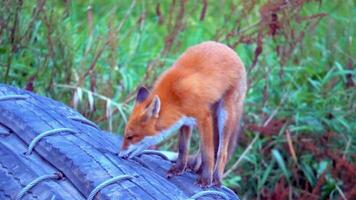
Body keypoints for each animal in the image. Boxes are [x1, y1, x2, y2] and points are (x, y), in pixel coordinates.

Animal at [121, 40, 246, 186]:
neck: (175, 94)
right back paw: (196, 168)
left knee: (222, 151)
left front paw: (205, 179)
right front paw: (179, 169)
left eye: (130, 137)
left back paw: (215, 178)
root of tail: (230, 50)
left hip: (225, 115)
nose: (119, 155)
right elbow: (183, 148)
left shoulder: (204, 117)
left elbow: (208, 153)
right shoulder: (185, 120)